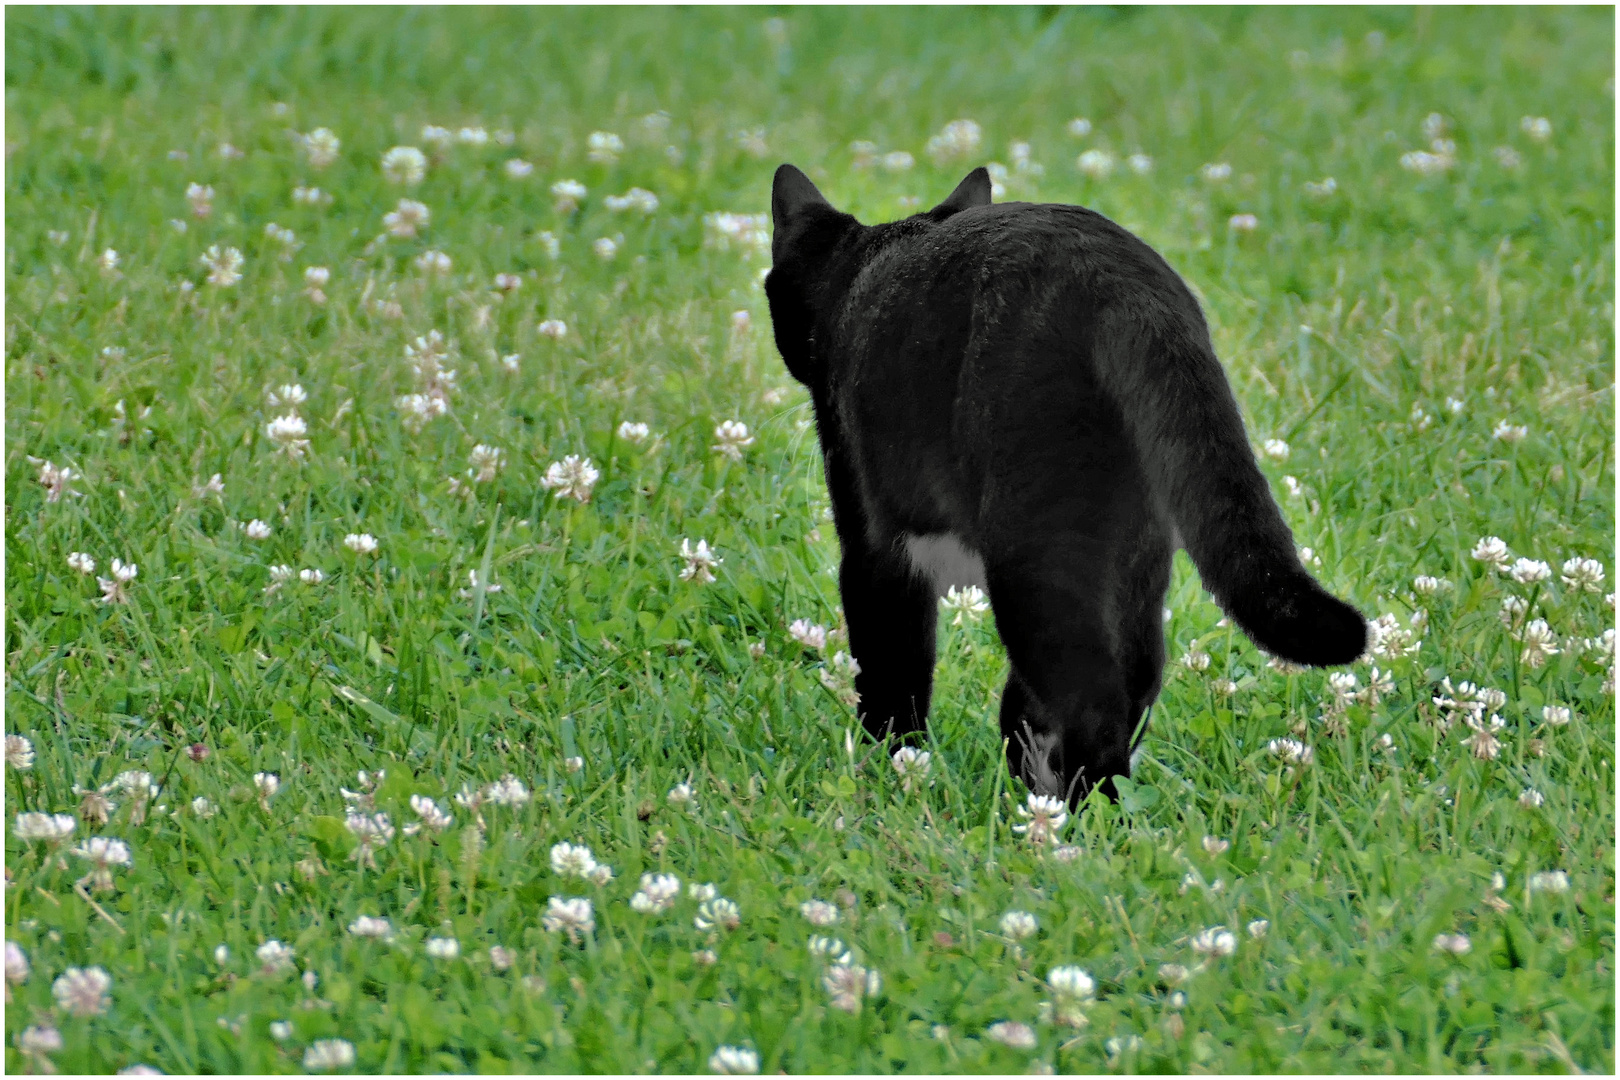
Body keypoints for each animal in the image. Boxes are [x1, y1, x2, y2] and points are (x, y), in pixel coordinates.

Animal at [764, 162, 1360, 803]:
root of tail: (1123, 279)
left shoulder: (875, 549)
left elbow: (891, 676)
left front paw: (892, 767)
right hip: (1136, 556)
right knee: (1135, 681)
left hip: (1036, 557)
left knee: (1090, 699)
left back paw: (1080, 811)